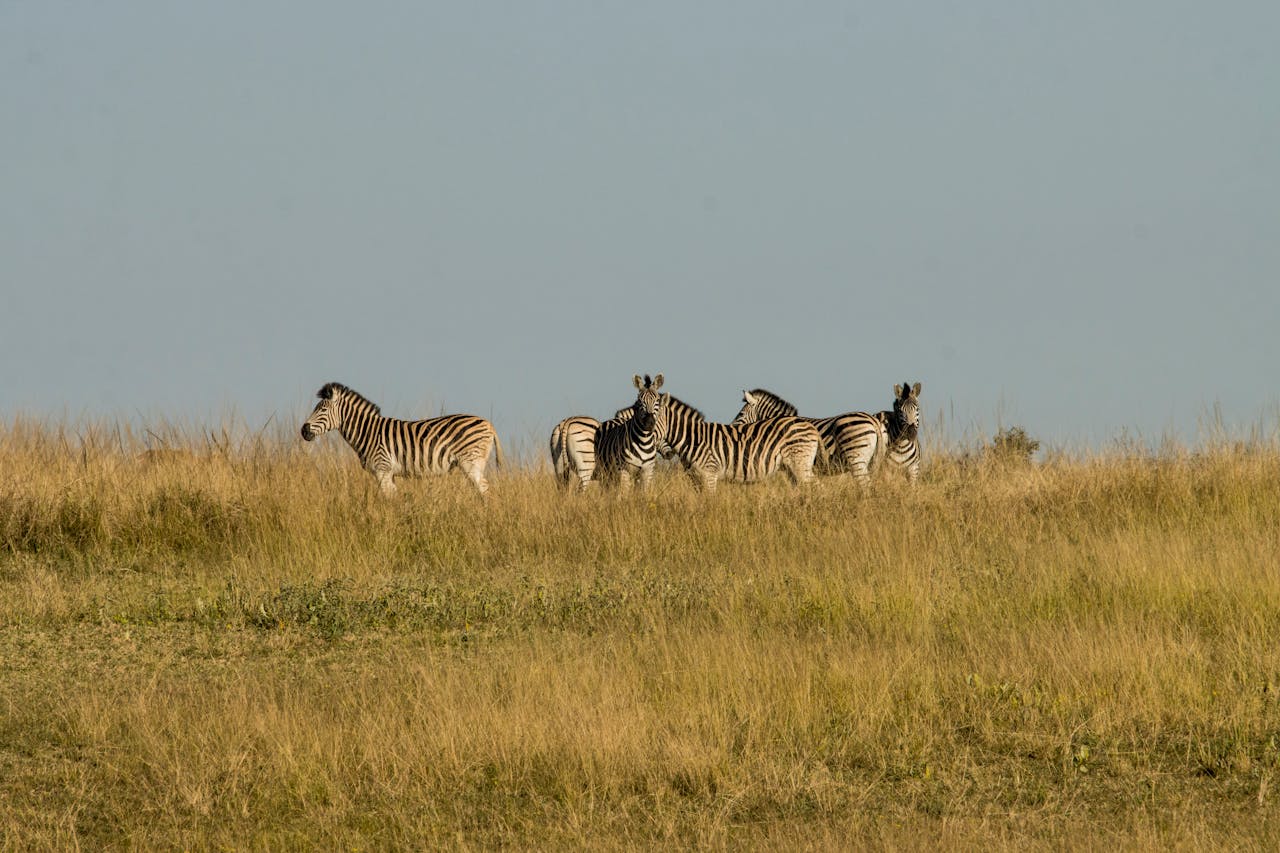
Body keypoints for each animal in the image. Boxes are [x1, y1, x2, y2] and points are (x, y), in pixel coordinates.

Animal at [300, 382, 502, 496]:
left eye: (322, 410)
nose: (303, 430)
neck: (367, 432)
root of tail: (489, 424)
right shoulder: (389, 473)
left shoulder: (382, 469)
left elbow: (388, 499)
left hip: (471, 462)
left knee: (484, 488)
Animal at [656, 400, 821, 493]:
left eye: (652, 420)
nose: (668, 454)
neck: (693, 438)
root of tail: (810, 425)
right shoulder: (695, 478)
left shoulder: (709, 474)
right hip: (791, 468)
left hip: (800, 463)